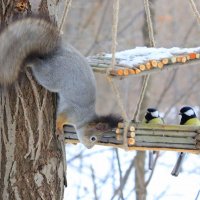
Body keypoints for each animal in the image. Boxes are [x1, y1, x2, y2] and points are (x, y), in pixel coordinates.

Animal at [0, 17, 120, 148]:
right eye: (93, 138)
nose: (88, 148)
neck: (84, 118)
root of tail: (59, 49)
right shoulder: (71, 111)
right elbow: (60, 118)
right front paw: (58, 128)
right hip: (51, 77)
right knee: (39, 67)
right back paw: (31, 61)